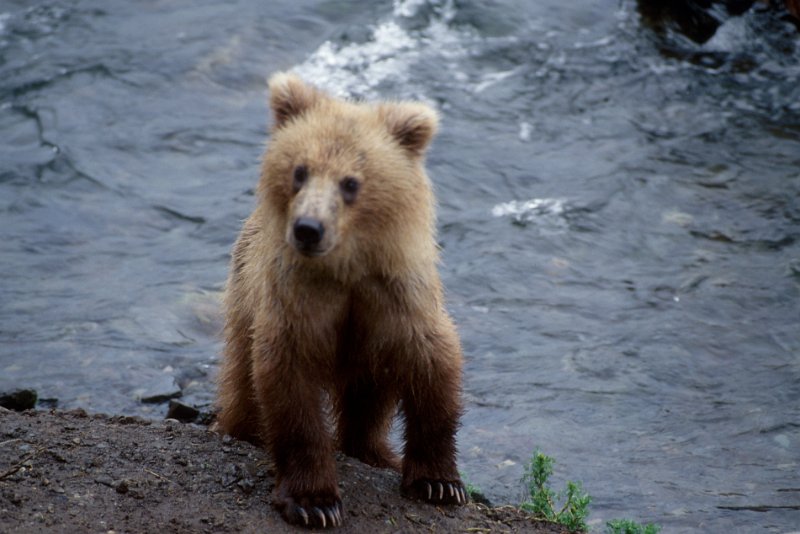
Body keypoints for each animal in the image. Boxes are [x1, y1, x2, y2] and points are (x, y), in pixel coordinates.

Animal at [216, 73, 466, 528]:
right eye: (299, 171)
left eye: (351, 182)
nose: (308, 228)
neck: (345, 269)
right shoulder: (296, 303)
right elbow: (290, 390)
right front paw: (314, 502)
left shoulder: (396, 300)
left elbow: (433, 368)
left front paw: (439, 482)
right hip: (243, 300)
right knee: (243, 382)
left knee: (368, 402)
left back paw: (375, 452)